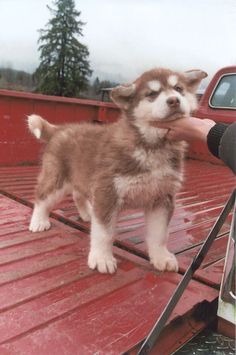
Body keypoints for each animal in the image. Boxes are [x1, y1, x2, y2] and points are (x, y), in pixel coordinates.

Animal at [28, 69, 206, 276]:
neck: (153, 146)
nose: (174, 100)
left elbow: (160, 233)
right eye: (152, 94)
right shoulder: (108, 192)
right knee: (42, 197)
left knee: (78, 194)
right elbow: (104, 233)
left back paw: (88, 213)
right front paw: (102, 258)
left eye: (178, 88)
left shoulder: (162, 197)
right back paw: (38, 221)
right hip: (57, 178)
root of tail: (59, 129)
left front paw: (161, 257)